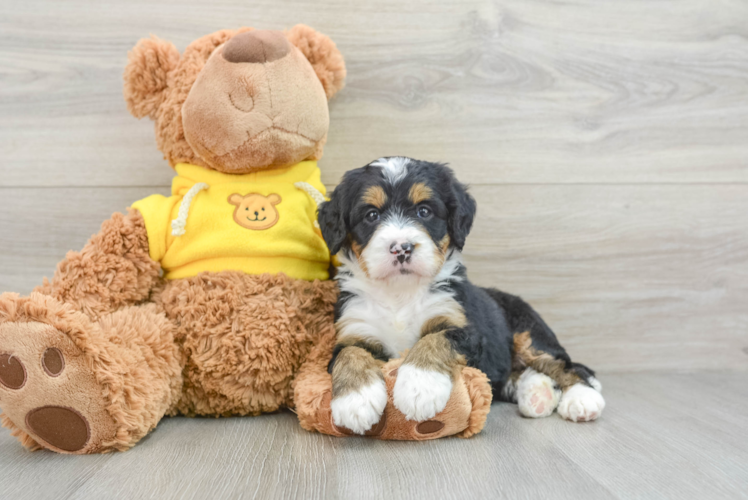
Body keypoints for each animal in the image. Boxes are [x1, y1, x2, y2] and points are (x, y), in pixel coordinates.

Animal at [318, 156, 604, 434]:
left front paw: (419, 388)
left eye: (424, 211)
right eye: (371, 215)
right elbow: (349, 355)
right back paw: (537, 395)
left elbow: (435, 340)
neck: (400, 293)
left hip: (529, 334)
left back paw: (582, 399)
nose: (401, 248)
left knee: (566, 366)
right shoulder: (355, 328)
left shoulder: (465, 327)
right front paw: (355, 401)